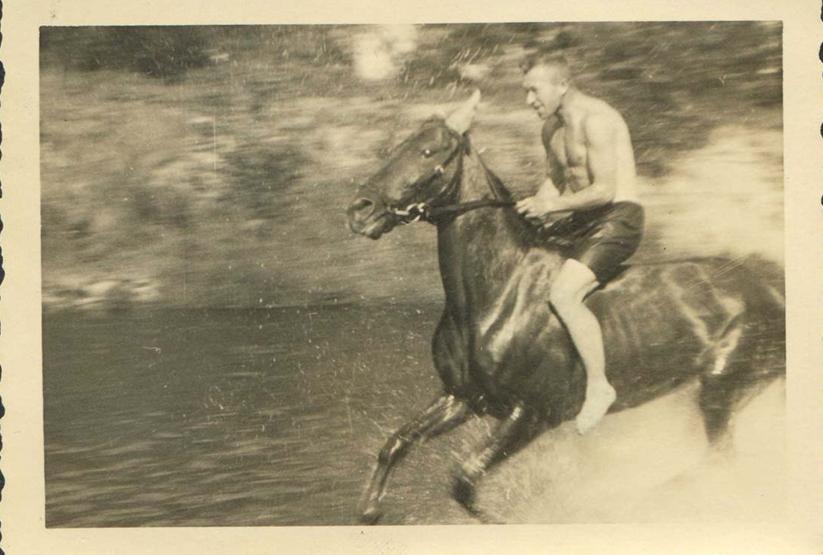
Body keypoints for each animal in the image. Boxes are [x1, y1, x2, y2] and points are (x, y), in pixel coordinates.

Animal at [346, 90, 785, 524]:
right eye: (395, 147)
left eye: (428, 151)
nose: (359, 209)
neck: (497, 291)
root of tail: (770, 284)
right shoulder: (464, 397)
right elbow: (396, 444)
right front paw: (369, 511)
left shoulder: (532, 413)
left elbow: (465, 481)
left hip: (723, 383)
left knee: (719, 461)